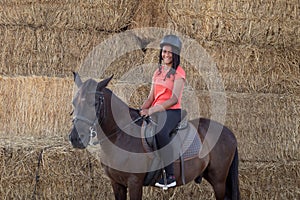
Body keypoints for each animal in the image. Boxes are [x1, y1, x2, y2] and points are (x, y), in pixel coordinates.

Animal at [69, 73, 240, 200]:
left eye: (95, 103)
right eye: (74, 103)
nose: (75, 138)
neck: (120, 137)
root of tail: (229, 132)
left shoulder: (134, 183)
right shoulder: (116, 183)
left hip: (218, 180)